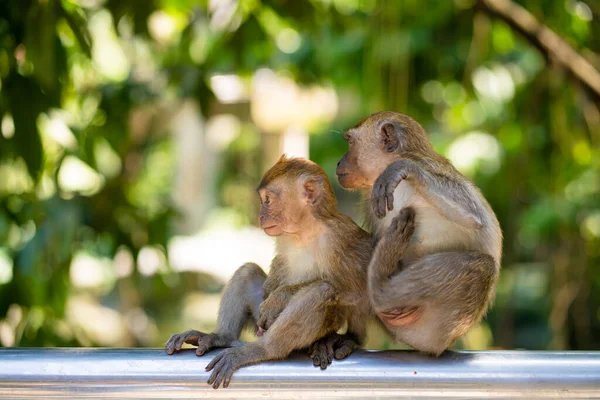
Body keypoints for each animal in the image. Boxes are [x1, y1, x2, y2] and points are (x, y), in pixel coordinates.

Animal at [164, 155, 370, 388]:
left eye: (268, 200)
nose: (261, 216)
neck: (304, 232)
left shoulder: (341, 237)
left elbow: (358, 292)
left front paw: (280, 298)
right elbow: (272, 278)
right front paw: (273, 293)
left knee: (321, 291)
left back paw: (263, 349)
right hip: (259, 322)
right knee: (248, 271)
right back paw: (221, 337)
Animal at [336, 111, 504, 354]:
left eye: (350, 142)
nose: (339, 161)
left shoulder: (423, 165)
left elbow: (475, 216)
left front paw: (402, 169)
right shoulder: (370, 199)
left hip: (441, 323)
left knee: (483, 267)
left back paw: (380, 288)